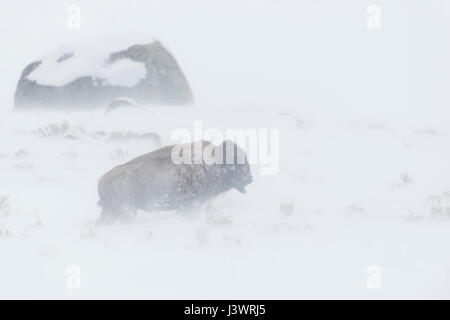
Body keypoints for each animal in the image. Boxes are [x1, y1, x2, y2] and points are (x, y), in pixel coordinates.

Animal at [97, 140, 253, 225]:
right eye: (234, 162)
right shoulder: (189, 205)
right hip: (127, 209)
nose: (250, 178)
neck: (209, 164)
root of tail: (101, 180)